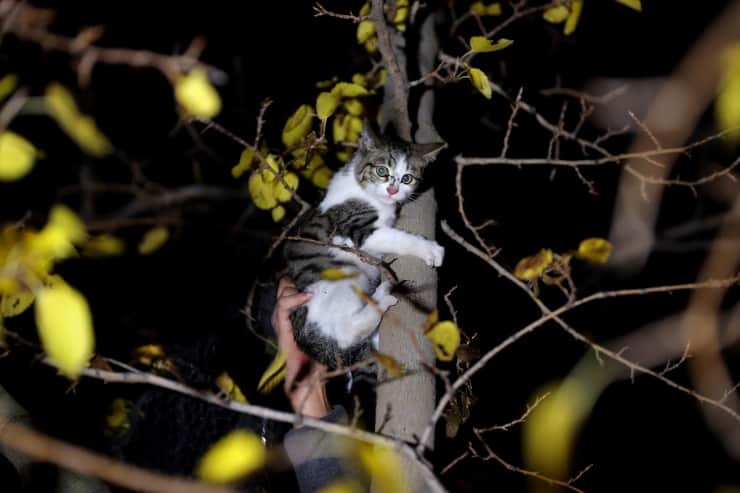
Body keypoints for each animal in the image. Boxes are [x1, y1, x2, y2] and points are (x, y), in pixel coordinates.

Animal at [284, 124, 446, 368]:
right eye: (381, 171)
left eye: (407, 178)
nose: (392, 191)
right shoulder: (357, 230)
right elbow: (398, 238)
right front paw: (431, 249)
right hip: (343, 275)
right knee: (344, 333)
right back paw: (382, 296)